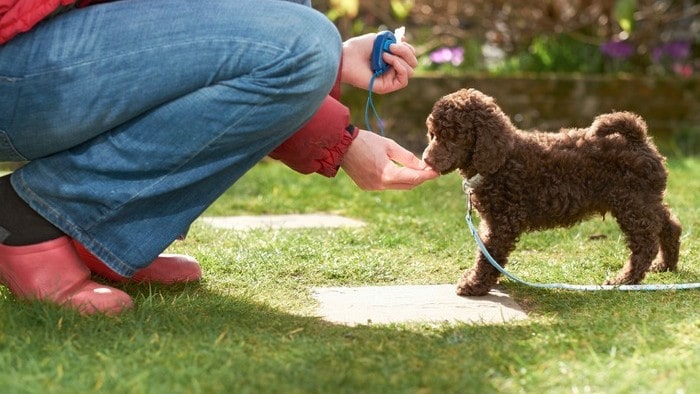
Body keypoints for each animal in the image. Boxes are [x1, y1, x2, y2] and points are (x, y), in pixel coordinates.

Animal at [424, 87, 680, 294]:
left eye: (452, 136)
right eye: (432, 134)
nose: (426, 159)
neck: (503, 160)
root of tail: (638, 139)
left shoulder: (502, 221)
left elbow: (489, 254)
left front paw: (475, 284)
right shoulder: (494, 221)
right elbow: (486, 252)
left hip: (631, 202)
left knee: (645, 243)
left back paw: (625, 280)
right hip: (645, 200)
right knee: (669, 225)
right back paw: (666, 264)